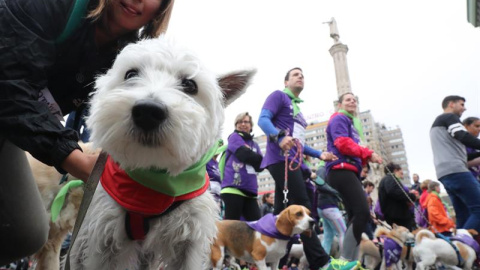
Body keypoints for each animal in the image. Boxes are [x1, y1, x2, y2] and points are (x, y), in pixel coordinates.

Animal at [32, 36, 256, 270]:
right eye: (131, 74)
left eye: (190, 85)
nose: (148, 111)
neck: (154, 181)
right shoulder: (105, 235)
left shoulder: (189, 239)